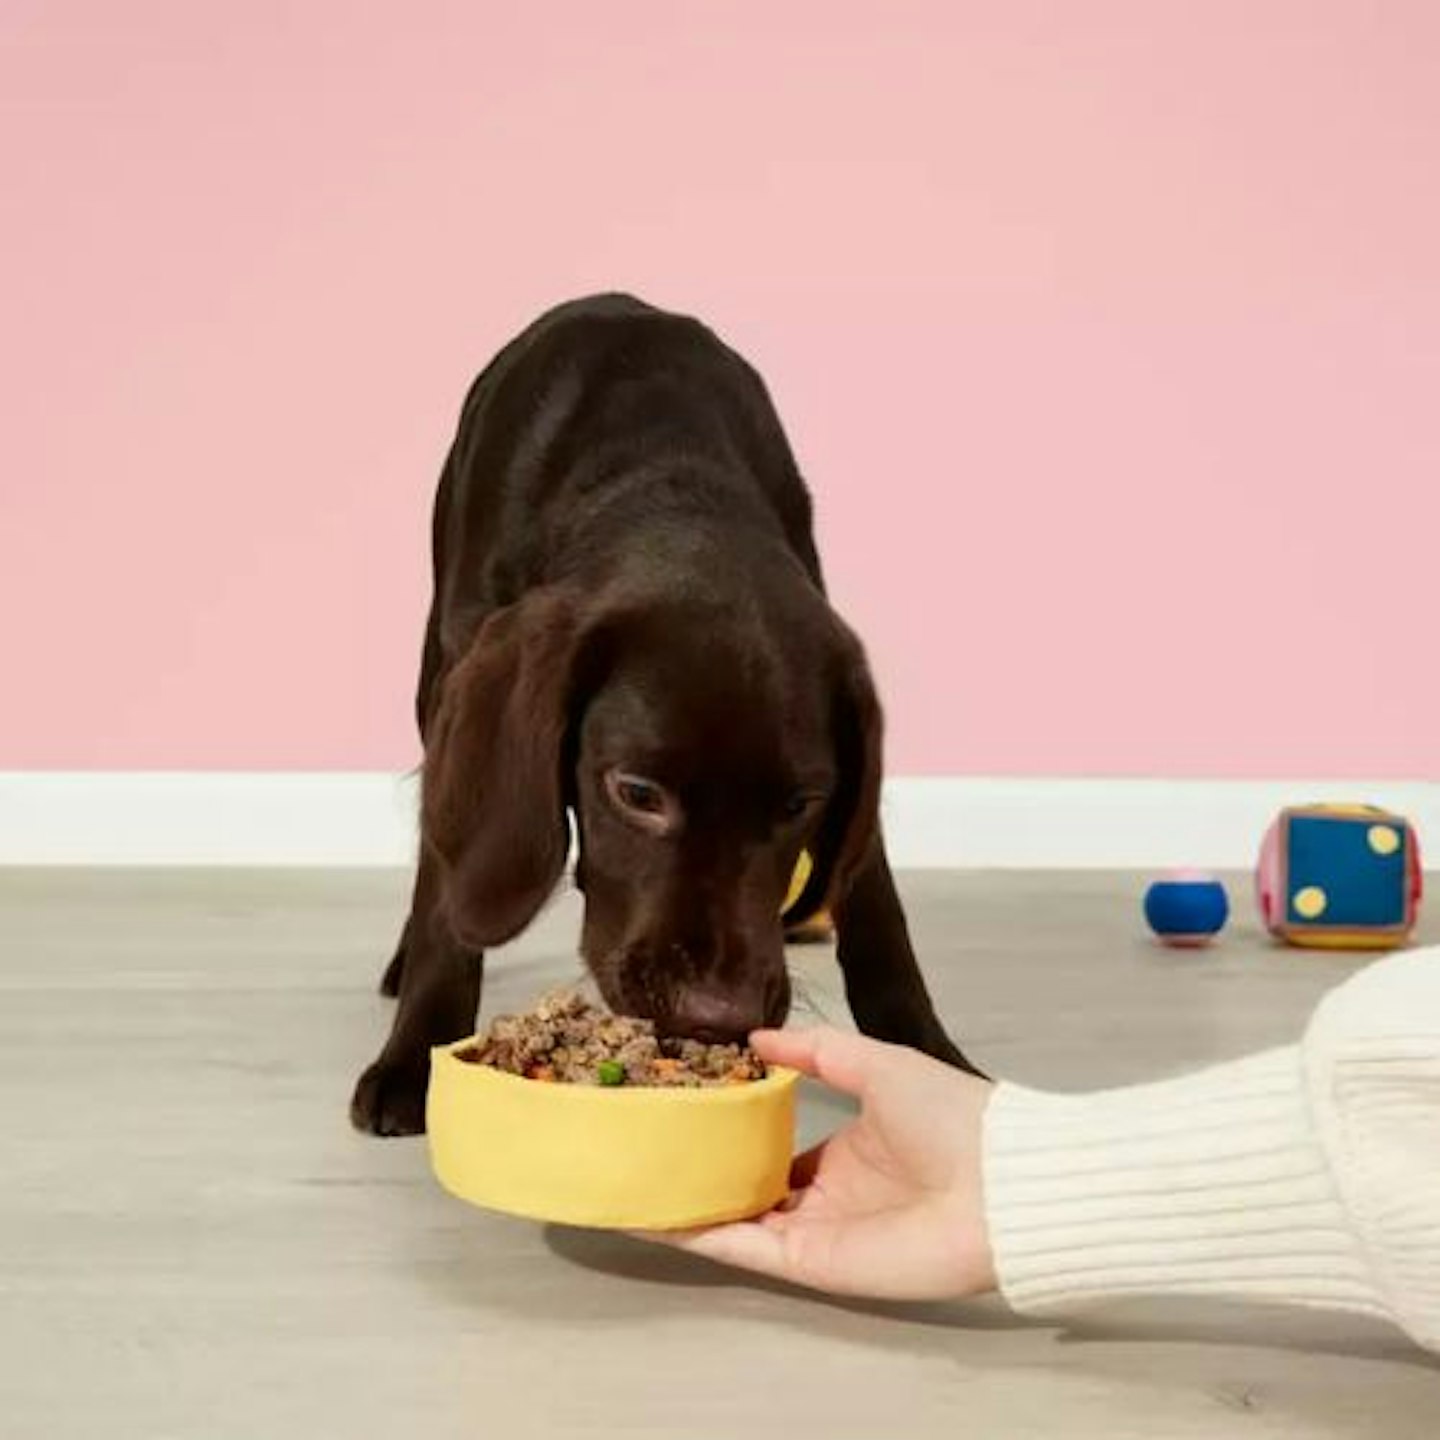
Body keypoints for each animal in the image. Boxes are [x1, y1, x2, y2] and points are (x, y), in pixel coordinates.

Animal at [349, 289, 979, 1134]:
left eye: (801, 805)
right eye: (637, 794)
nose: (716, 1015)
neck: (665, 483)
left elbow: (874, 892)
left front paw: (927, 1060)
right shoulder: (466, 663)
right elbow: (447, 883)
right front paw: (415, 1053)